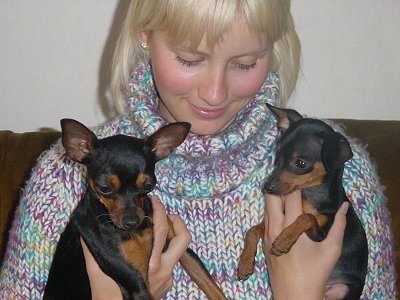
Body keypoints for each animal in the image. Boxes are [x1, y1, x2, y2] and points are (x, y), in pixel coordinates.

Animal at [44, 119, 225, 300]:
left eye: (149, 185)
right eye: (104, 188)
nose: (132, 222)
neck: (138, 232)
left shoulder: (185, 252)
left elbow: (212, 287)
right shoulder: (137, 285)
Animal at [239, 104, 368, 298]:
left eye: (300, 163)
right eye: (277, 157)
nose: (267, 188)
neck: (307, 196)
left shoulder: (320, 236)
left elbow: (307, 217)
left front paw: (284, 239)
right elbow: (253, 230)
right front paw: (245, 261)